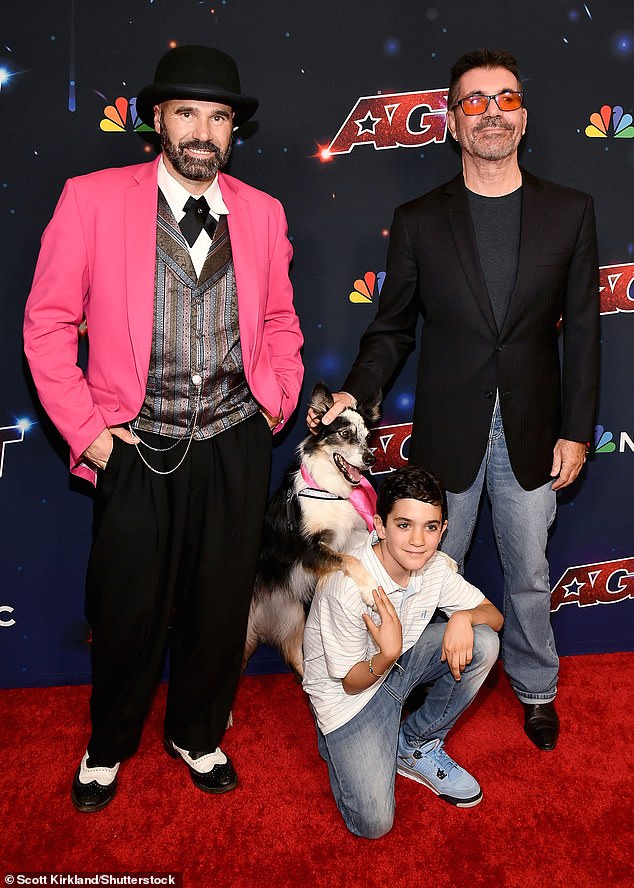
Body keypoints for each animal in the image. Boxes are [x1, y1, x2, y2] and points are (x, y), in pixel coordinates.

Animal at [244, 380, 378, 672]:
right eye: (345, 433)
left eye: (367, 437)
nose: (371, 459)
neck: (327, 489)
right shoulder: (309, 550)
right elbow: (351, 560)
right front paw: (370, 589)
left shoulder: (350, 535)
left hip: (294, 617)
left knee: (298, 660)